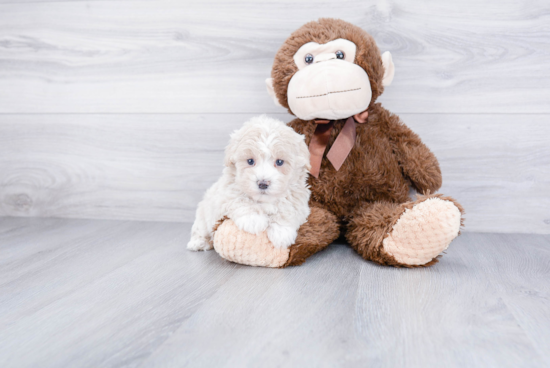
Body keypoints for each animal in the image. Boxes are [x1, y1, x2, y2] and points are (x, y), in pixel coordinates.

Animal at [189, 116, 310, 252]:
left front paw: (282, 233)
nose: (263, 183)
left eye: (279, 162)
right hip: (203, 214)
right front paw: (253, 219)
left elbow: (288, 209)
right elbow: (240, 200)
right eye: (250, 161)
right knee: (200, 229)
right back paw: (198, 242)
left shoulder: (298, 199)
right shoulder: (226, 193)